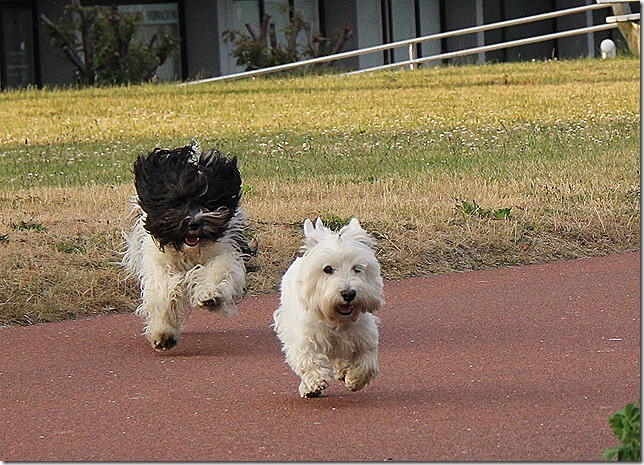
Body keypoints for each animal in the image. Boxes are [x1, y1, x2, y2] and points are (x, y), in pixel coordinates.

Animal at [122, 143, 255, 350]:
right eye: (177, 202)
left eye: (207, 202)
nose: (194, 223)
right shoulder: (158, 262)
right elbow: (163, 291)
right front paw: (163, 332)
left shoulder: (225, 250)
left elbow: (219, 269)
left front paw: (210, 295)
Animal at [272, 217, 384, 396]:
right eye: (328, 269)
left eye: (357, 269)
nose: (348, 293)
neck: (336, 320)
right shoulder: (304, 336)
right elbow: (308, 358)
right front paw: (318, 380)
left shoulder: (364, 335)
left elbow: (367, 362)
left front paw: (354, 380)